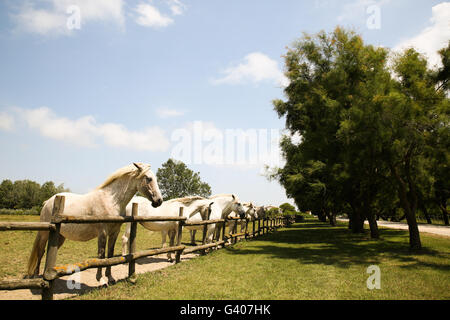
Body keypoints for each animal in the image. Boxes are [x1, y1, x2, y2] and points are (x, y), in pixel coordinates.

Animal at [26, 164, 162, 284]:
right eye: (148, 178)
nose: (159, 201)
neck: (111, 201)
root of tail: (48, 202)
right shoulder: (103, 232)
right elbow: (101, 255)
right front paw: (100, 279)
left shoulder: (114, 232)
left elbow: (110, 255)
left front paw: (110, 278)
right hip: (44, 233)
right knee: (40, 251)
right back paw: (36, 276)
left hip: (60, 237)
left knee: (48, 252)